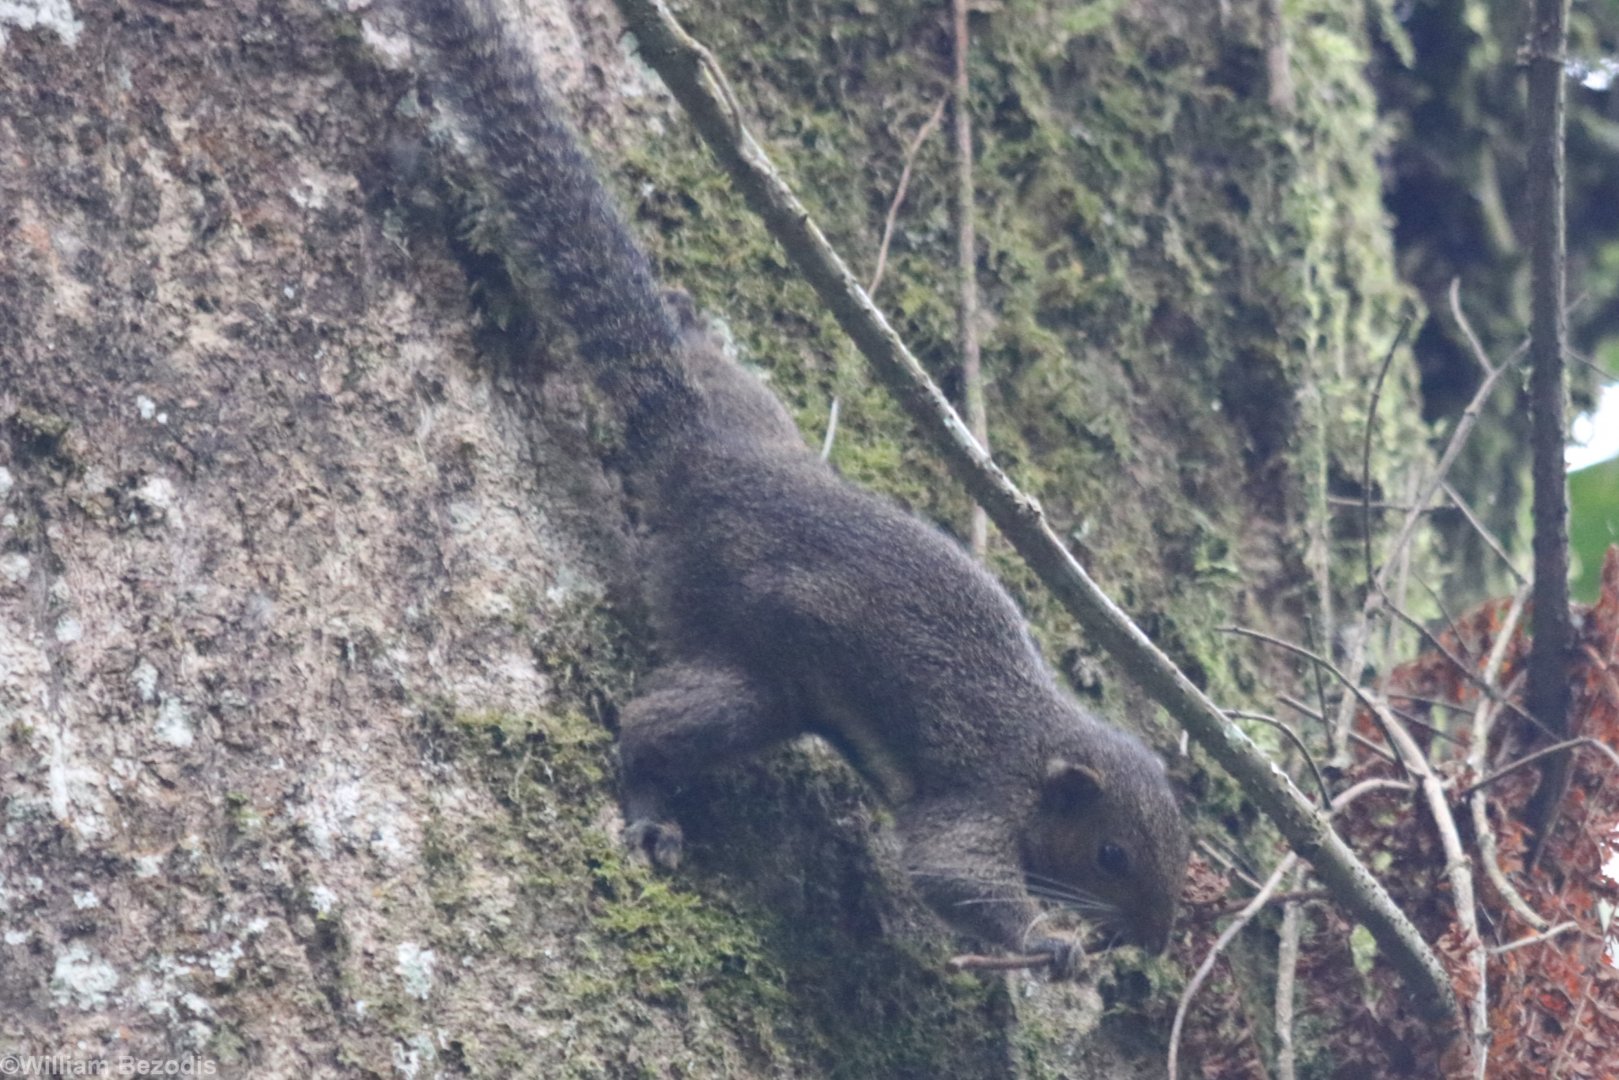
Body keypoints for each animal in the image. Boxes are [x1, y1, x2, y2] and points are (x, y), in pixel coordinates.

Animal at [403, 0, 1189, 972]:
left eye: (1179, 847)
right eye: (1111, 853)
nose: (1155, 941)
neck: (1041, 742)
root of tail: (703, 455)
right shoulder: (977, 795)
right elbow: (949, 871)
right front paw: (1048, 943)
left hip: (747, 427)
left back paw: (689, 326)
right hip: (741, 650)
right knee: (653, 721)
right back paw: (651, 811)